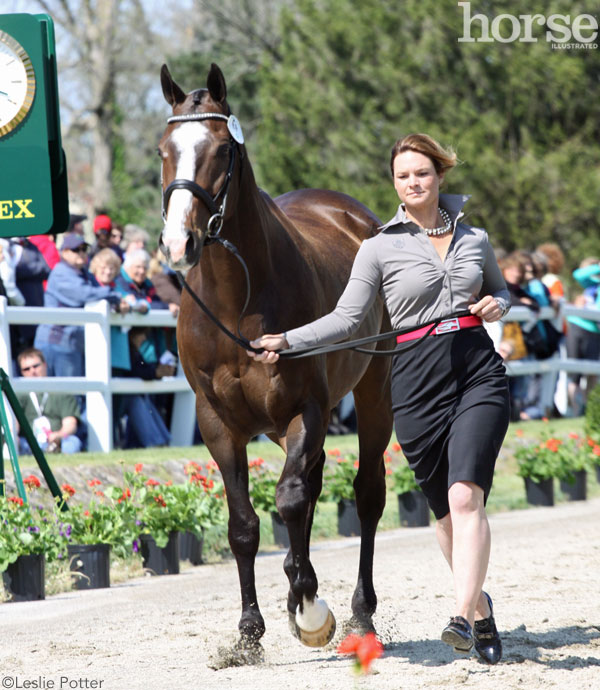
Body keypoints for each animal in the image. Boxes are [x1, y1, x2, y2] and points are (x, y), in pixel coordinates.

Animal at [158, 64, 394, 656]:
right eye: (163, 150)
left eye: (222, 149)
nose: (179, 243)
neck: (235, 299)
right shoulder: (218, 422)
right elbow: (244, 524)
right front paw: (250, 630)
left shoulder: (302, 410)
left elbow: (288, 499)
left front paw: (310, 607)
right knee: (311, 487)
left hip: (373, 395)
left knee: (365, 494)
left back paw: (358, 611)